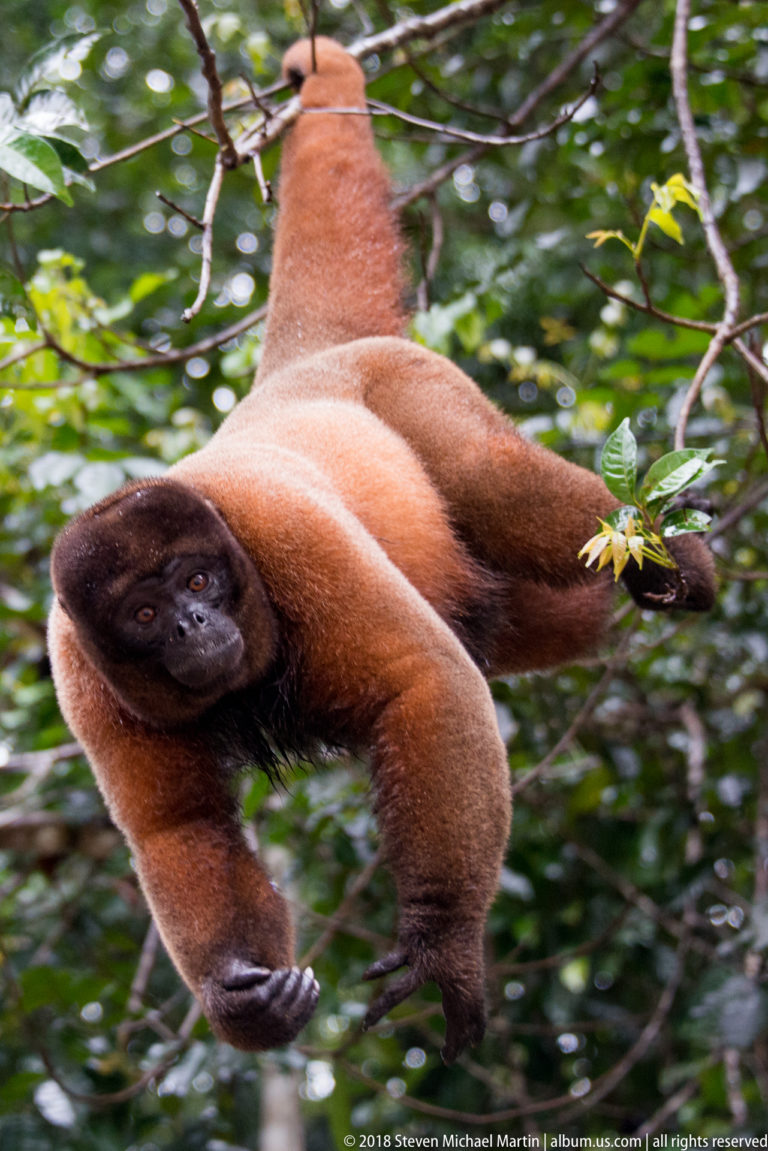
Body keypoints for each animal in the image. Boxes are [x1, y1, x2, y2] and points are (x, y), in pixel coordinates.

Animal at [48, 37, 716, 1063]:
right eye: (148, 612)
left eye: (200, 578)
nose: (196, 622)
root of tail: (298, 369)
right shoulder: (78, 666)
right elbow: (180, 828)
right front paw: (243, 1001)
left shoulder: (287, 532)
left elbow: (427, 681)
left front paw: (441, 945)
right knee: (545, 612)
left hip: (411, 382)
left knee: (493, 481)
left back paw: (672, 556)